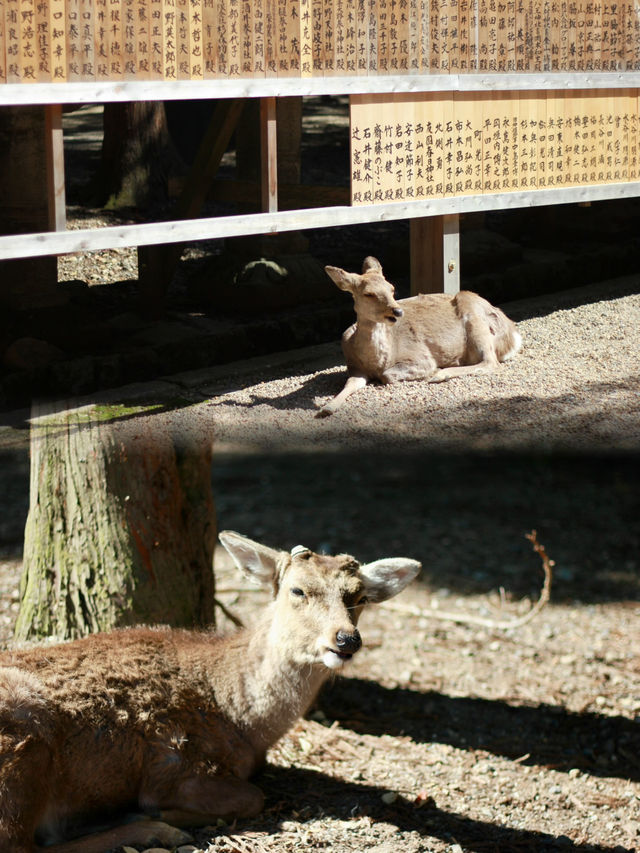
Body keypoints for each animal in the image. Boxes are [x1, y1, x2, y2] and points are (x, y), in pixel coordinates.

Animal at [0, 528, 420, 848]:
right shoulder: (177, 763)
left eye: (360, 596)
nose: (347, 639)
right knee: (20, 845)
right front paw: (157, 811)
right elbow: (252, 797)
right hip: (24, 745)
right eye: (297, 591)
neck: (240, 718)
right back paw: (153, 829)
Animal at [318, 253, 524, 416]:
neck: (377, 360)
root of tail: (513, 334)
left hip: (476, 320)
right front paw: (327, 408)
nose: (397, 311)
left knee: (490, 361)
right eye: (368, 294)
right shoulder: (354, 367)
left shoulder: (421, 357)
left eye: (392, 289)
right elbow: (350, 383)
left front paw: (432, 371)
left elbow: (388, 375)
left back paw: (440, 373)